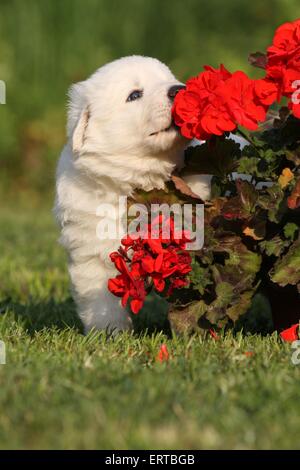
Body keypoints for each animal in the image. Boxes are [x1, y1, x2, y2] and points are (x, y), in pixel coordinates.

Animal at [53, 55, 188, 332]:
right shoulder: (91, 251)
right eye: (134, 95)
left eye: (169, 79)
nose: (179, 89)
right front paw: (110, 335)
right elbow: (102, 303)